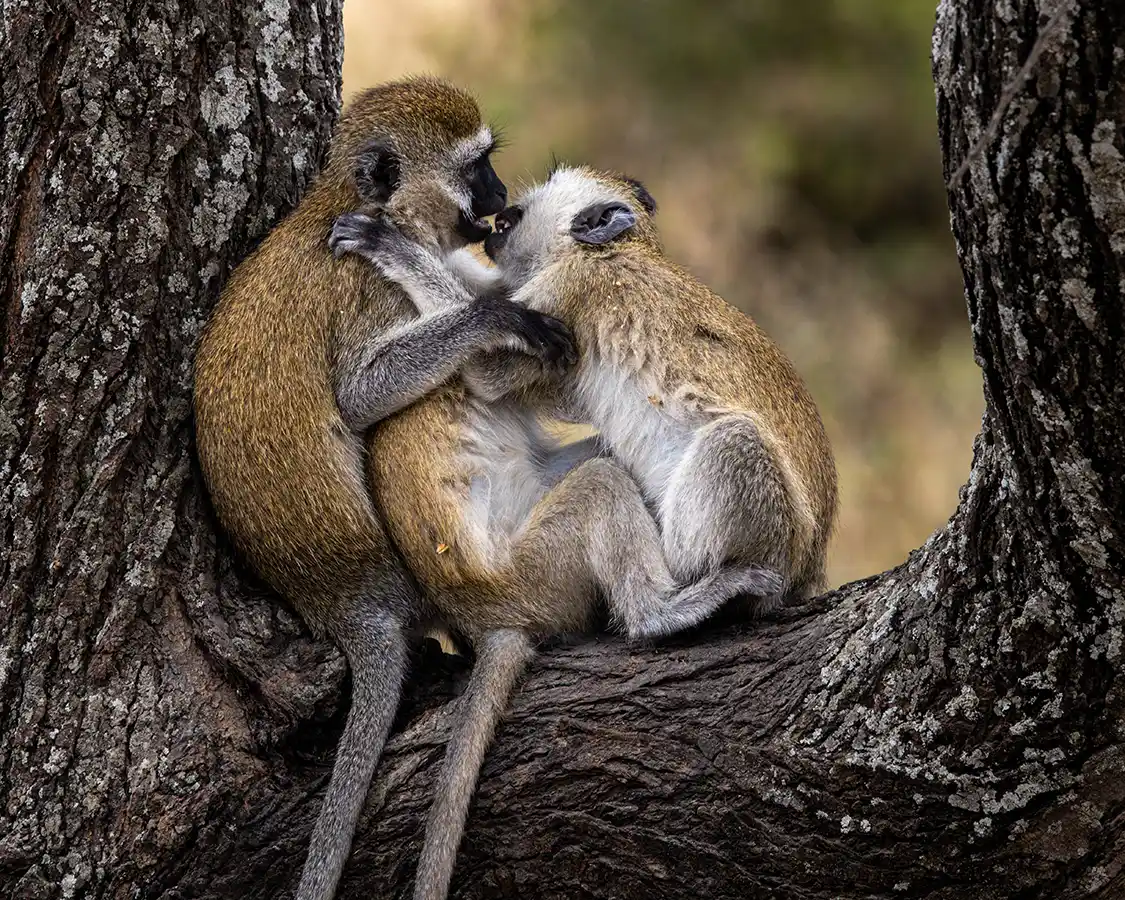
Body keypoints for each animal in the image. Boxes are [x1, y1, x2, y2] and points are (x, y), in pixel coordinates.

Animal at [192, 77, 575, 900]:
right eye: (476, 168)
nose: (502, 198)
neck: (348, 205)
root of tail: (343, 598)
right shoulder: (372, 294)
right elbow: (360, 398)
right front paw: (493, 315)